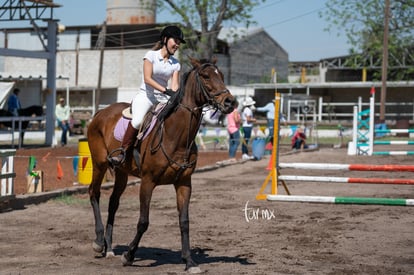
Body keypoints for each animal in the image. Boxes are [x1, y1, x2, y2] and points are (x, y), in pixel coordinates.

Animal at [86, 57, 236, 272]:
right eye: (206, 76)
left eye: (221, 75)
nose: (230, 102)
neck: (175, 136)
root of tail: (100, 113)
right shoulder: (147, 182)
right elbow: (143, 221)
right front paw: (129, 255)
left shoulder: (184, 183)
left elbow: (184, 221)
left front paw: (189, 261)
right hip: (99, 164)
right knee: (94, 193)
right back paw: (99, 243)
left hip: (122, 172)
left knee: (114, 202)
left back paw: (109, 248)